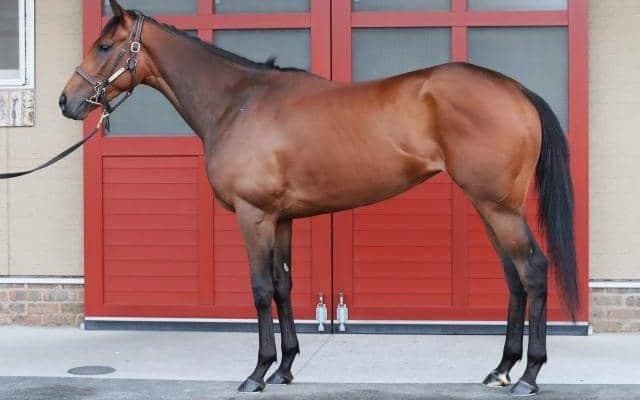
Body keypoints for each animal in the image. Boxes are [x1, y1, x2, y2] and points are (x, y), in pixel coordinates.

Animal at [60, 1, 578, 396]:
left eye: (104, 46)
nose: (66, 102)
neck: (238, 103)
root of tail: (516, 90)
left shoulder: (253, 215)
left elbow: (260, 290)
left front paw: (258, 372)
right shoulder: (281, 218)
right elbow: (284, 286)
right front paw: (287, 367)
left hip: (499, 208)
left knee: (533, 270)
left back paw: (529, 375)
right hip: (489, 207)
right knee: (514, 278)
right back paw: (502, 368)